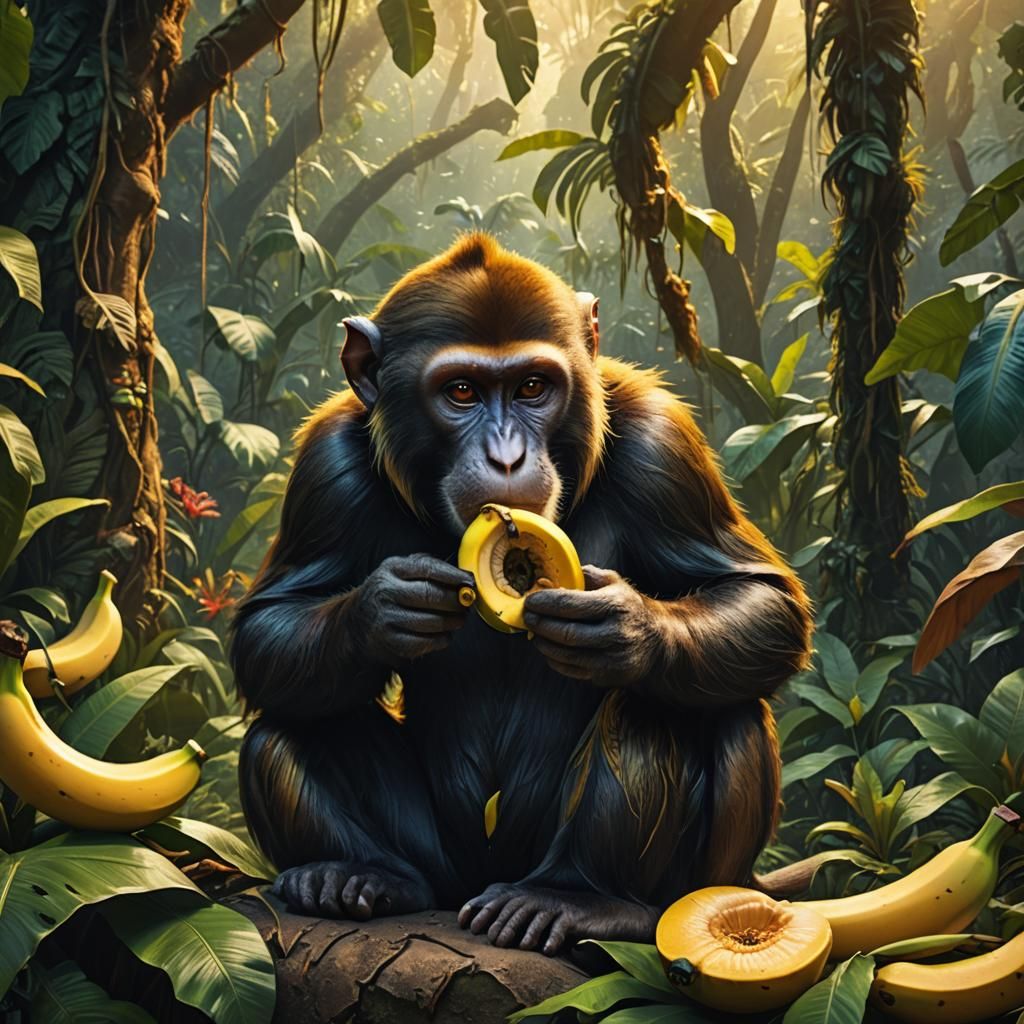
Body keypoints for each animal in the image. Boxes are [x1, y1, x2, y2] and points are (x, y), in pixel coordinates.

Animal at [230, 232, 812, 956]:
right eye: (461, 391)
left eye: (533, 387)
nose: (505, 456)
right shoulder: (325, 461)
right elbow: (269, 623)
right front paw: (384, 610)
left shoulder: (664, 443)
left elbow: (756, 593)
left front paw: (625, 630)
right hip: (445, 866)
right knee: (287, 722)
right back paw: (357, 874)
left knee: (689, 705)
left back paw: (586, 900)